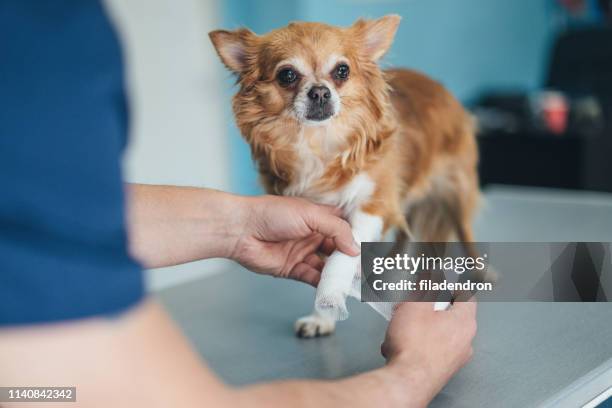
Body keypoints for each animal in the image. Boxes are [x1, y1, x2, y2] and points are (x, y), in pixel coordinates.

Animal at [209, 14, 478, 336]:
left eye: (342, 70)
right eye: (287, 75)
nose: (320, 91)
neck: (318, 142)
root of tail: (438, 86)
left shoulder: (374, 205)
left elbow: (342, 254)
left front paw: (332, 295)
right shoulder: (317, 216)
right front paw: (323, 315)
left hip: (457, 193)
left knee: (466, 238)